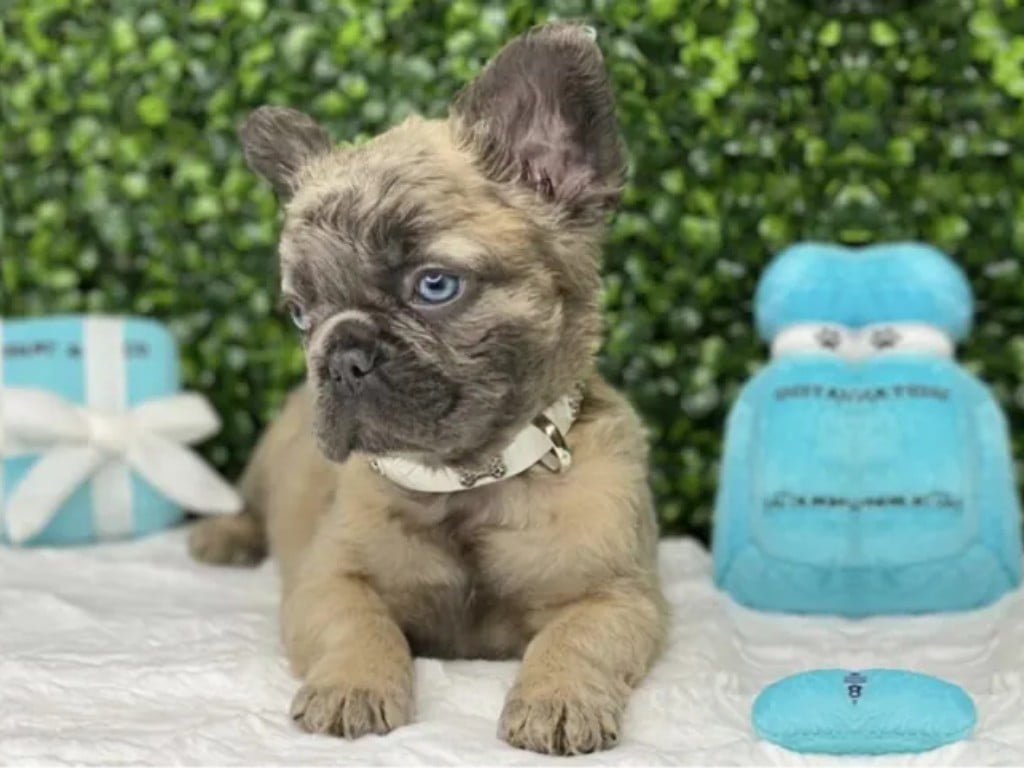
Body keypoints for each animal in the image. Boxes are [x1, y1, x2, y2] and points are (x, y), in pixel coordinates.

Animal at [190, 22, 671, 757]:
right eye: (300, 314)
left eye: (435, 285)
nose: (341, 356)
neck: (469, 481)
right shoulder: (330, 582)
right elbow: (362, 627)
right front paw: (353, 686)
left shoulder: (618, 595)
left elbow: (574, 639)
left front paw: (558, 697)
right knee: (249, 507)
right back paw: (226, 536)